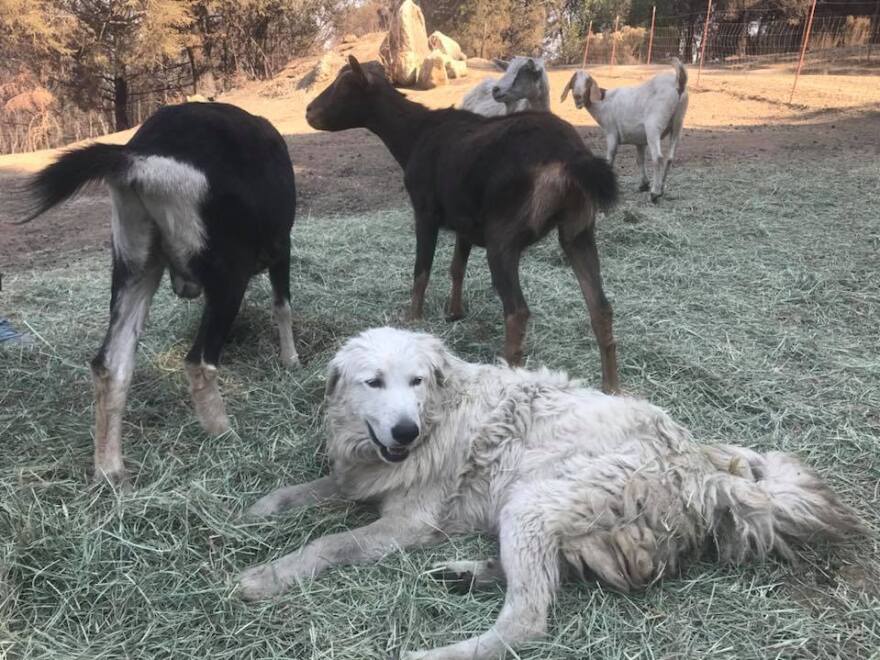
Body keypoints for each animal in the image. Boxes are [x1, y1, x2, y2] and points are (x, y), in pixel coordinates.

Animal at [19, 104, 300, 484]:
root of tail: (139, 158)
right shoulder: (281, 246)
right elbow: (282, 305)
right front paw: (291, 360)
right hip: (227, 271)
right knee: (199, 362)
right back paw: (225, 433)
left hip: (135, 260)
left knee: (110, 364)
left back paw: (110, 471)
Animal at [237, 328, 864, 656]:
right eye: (374, 383)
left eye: (415, 382)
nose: (405, 431)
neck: (439, 413)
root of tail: (699, 470)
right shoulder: (363, 475)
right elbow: (312, 490)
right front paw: (260, 509)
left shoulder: (407, 522)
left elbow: (329, 543)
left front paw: (267, 575)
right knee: (545, 576)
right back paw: (467, 574)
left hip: (533, 501)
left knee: (526, 619)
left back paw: (437, 649)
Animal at [308, 56, 620, 392]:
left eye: (344, 85)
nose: (309, 111)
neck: (414, 135)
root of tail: (573, 159)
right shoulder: (465, 221)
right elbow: (457, 266)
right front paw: (454, 312)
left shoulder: (425, 210)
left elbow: (422, 269)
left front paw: (412, 318)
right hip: (579, 230)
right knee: (600, 308)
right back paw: (612, 389)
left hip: (504, 236)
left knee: (517, 312)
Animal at [564, 60, 688, 202]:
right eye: (573, 81)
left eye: (588, 82)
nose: (577, 97)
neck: (602, 102)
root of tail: (678, 82)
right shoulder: (639, 140)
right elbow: (639, 160)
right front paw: (643, 184)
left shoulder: (611, 132)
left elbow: (610, 157)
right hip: (678, 123)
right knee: (670, 158)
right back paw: (661, 189)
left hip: (654, 125)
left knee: (658, 157)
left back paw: (654, 193)